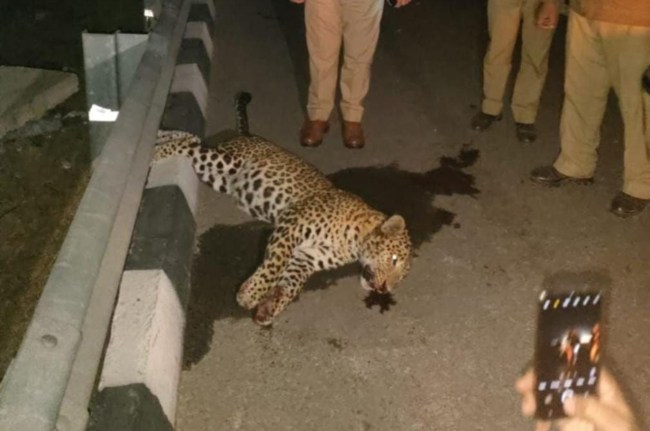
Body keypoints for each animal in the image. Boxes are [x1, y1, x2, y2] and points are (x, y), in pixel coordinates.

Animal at [153, 92, 412, 326]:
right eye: (394, 259)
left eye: (400, 279)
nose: (385, 289)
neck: (355, 242)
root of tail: (248, 136)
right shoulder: (292, 224)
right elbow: (274, 266)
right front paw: (251, 294)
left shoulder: (306, 258)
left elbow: (291, 284)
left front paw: (268, 306)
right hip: (227, 162)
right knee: (189, 144)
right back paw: (156, 151)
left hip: (217, 177)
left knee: (193, 141)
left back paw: (162, 136)